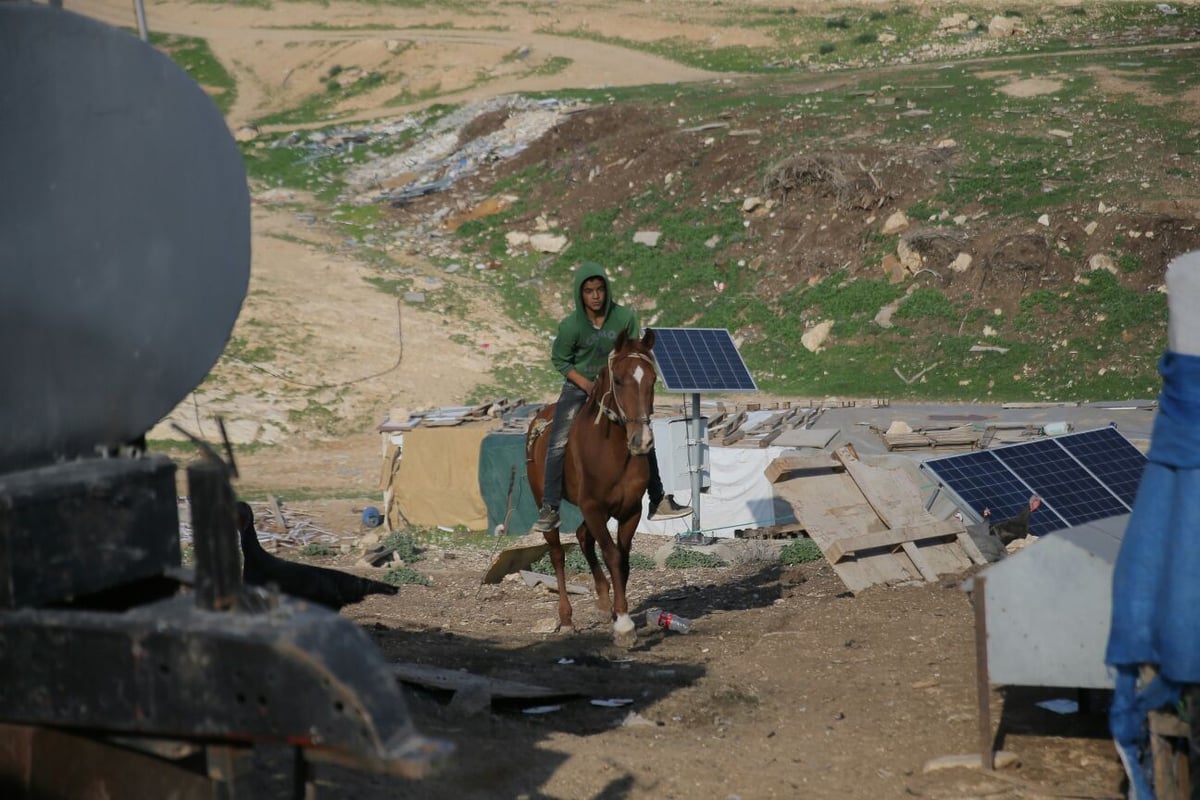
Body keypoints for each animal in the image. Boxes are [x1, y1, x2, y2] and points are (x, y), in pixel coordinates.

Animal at [525, 328, 657, 647]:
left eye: (653, 380)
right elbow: (612, 555)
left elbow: (623, 559)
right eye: (618, 380)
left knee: (584, 536)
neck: (613, 452)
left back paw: (602, 600)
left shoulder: (630, 510)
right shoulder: (593, 507)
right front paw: (624, 626)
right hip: (545, 500)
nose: (642, 440)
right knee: (558, 554)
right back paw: (566, 618)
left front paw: (618, 614)